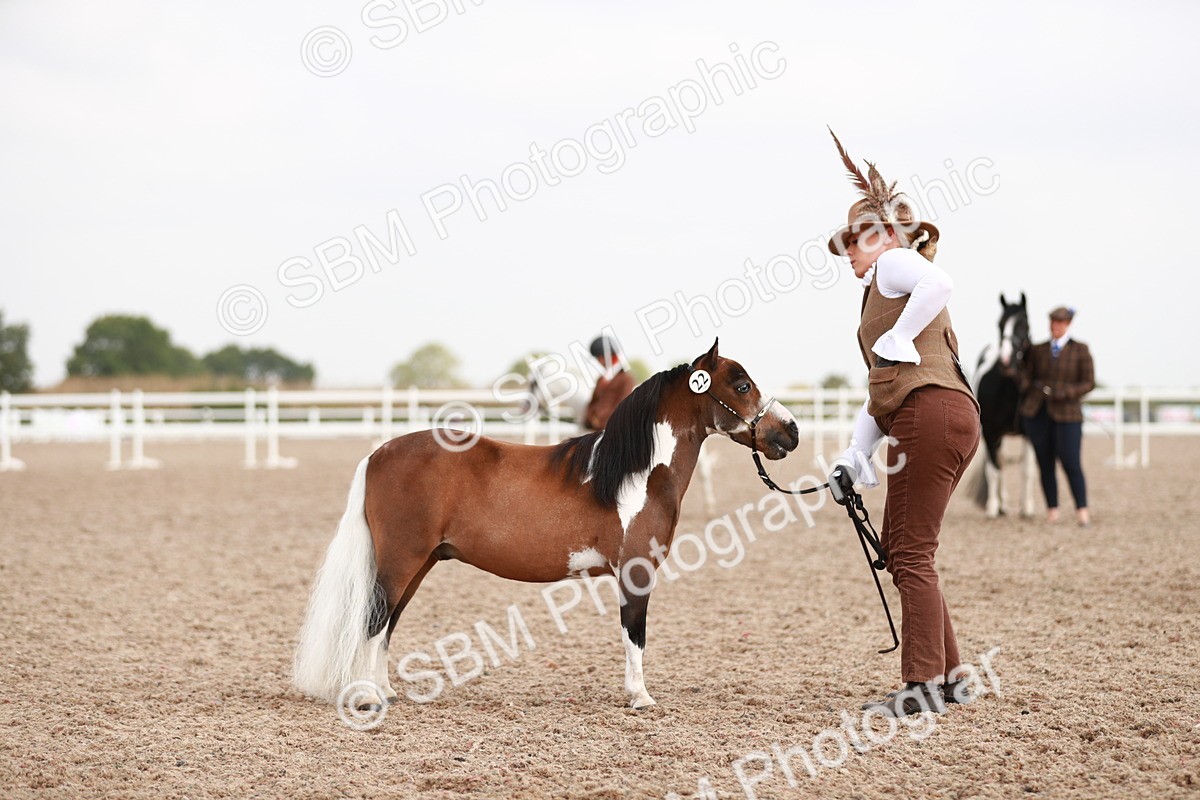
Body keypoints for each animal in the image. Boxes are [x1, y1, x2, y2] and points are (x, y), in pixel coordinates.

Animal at [293, 340, 799, 711]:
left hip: (418, 565)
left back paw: (385, 691)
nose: (790, 431)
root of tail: (377, 454)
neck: (635, 473)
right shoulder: (635, 571)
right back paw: (366, 698)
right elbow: (634, 634)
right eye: (741, 385)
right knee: (373, 622)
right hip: (401, 562)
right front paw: (640, 697)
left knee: (387, 625)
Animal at [971, 293, 1037, 518]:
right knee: (998, 463)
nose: (1007, 361)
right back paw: (1002, 505)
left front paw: (1027, 508)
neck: (1010, 389)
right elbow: (994, 470)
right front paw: (992, 507)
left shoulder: (1029, 434)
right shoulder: (990, 432)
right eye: (1000, 324)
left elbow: (1026, 471)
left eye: (1024, 324)